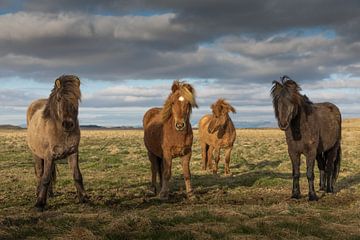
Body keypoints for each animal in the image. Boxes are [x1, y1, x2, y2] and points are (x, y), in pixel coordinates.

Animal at [26, 75, 87, 210]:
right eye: (59, 98)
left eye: (76, 98)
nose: (68, 124)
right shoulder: (49, 155)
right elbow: (45, 178)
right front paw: (40, 203)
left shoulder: (73, 152)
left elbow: (77, 175)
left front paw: (84, 198)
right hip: (36, 154)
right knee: (40, 173)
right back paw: (39, 193)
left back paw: (50, 193)